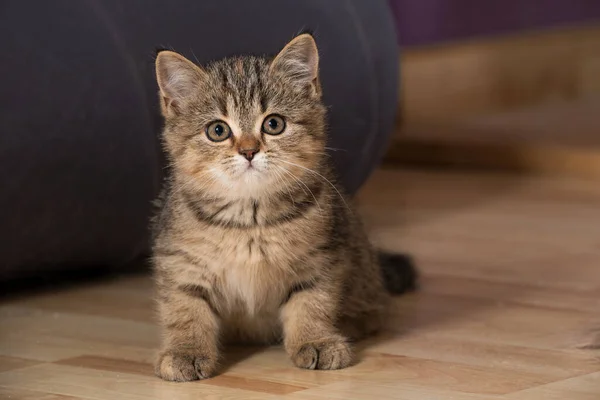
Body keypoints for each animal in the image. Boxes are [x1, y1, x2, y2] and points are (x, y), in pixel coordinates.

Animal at [150, 33, 418, 382]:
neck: (249, 220)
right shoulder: (181, 261)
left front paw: (315, 340)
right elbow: (184, 307)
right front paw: (186, 350)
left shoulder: (321, 257)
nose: (249, 151)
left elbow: (311, 302)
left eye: (274, 124)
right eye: (217, 130)